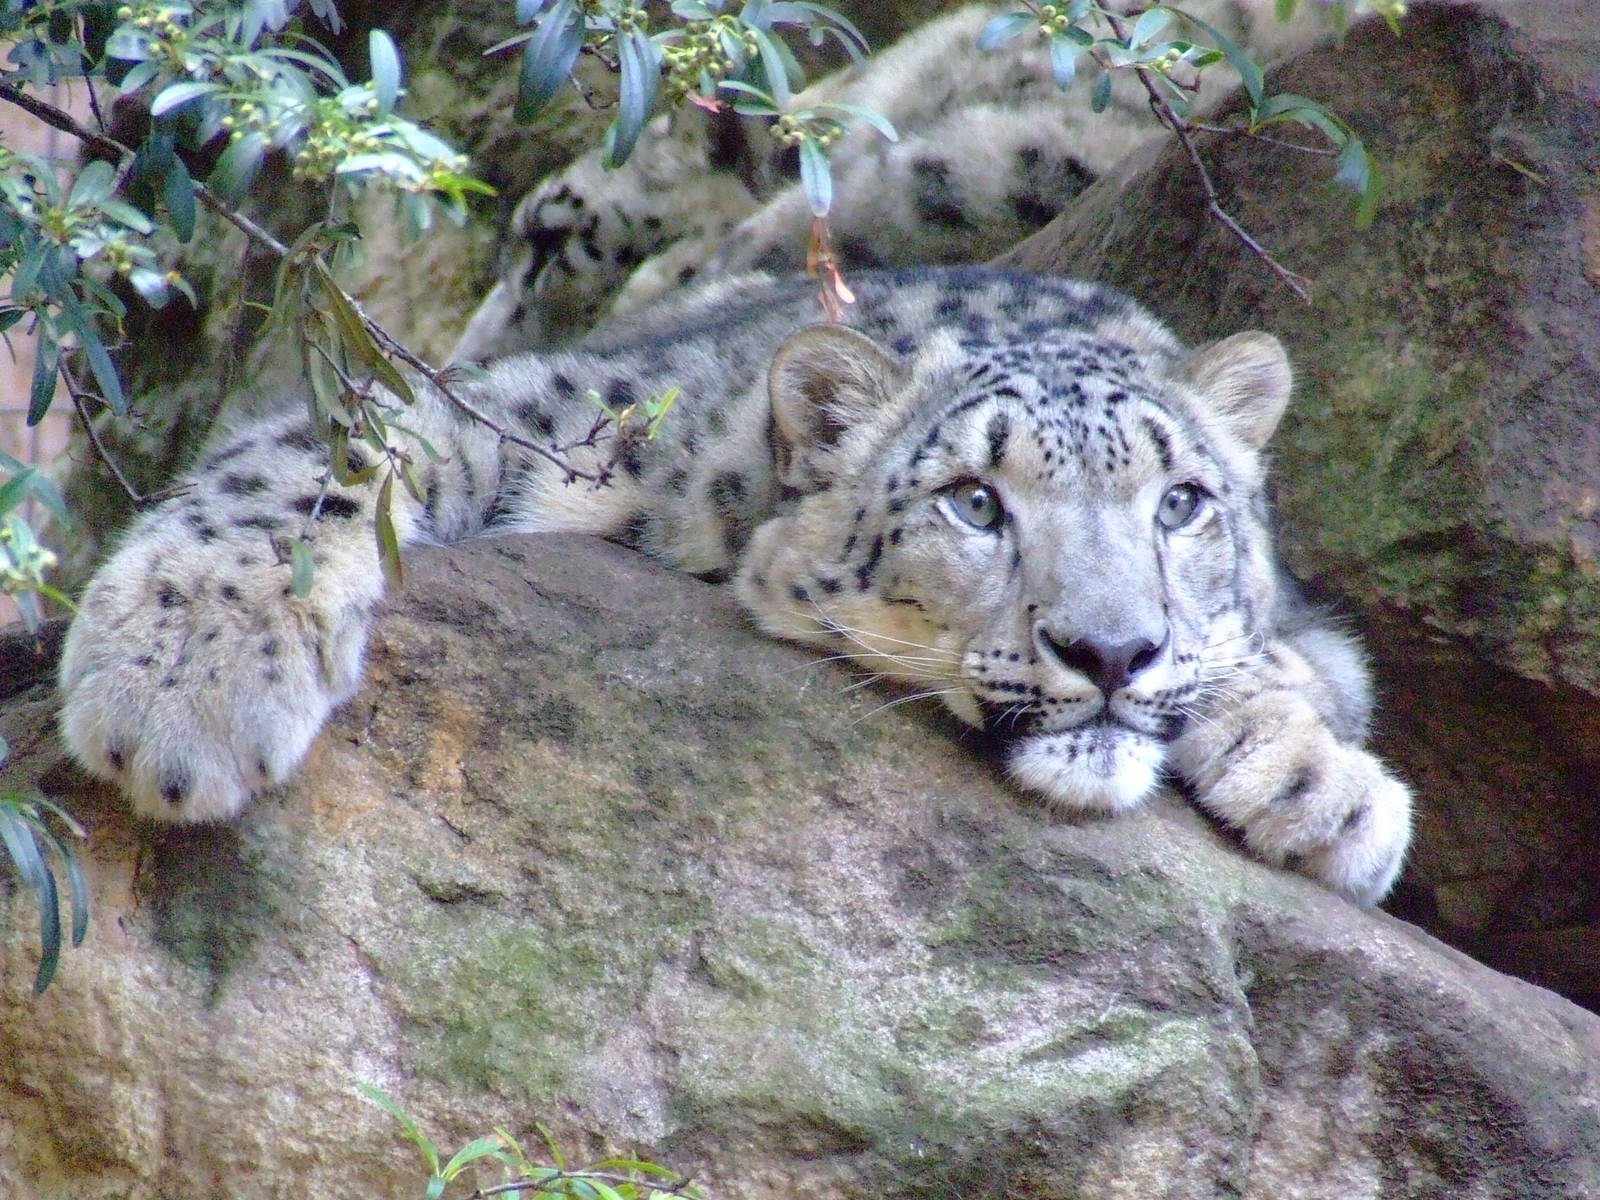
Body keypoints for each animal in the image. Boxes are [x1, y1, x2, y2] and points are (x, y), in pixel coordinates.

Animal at [58, 267, 1412, 906]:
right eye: (974, 502)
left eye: (1180, 503)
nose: (1111, 651)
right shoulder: (547, 411)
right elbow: (331, 450)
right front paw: (182, 683)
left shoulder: (1309, 635)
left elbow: (1302, 665)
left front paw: (1323, 786)